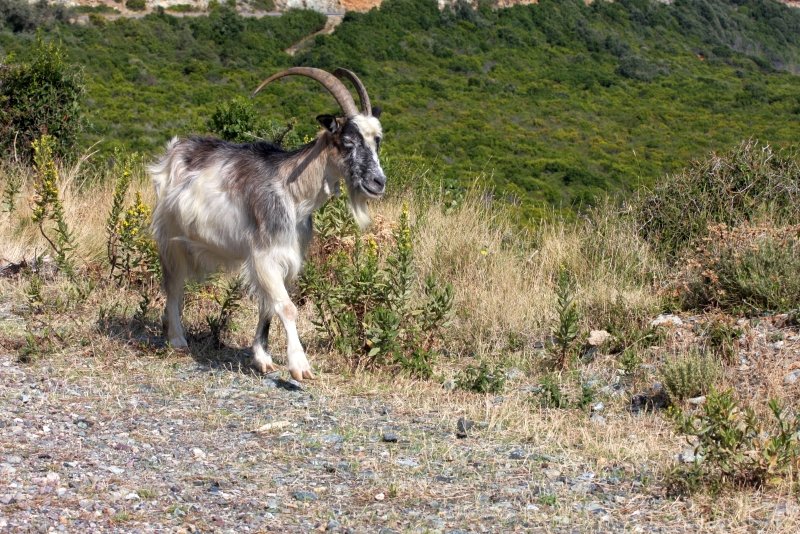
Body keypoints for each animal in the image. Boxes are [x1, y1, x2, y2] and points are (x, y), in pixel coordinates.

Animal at [149, 67, 386, 381]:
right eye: (348, 141)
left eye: (377, 140)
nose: (378, 182)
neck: (292, 192)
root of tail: (174, 150)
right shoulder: (263, 256)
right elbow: (286, 307)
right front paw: (300, 366)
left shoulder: (286, 259)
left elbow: (268, 307)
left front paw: (263, 358)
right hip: (170, 236)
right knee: (173, 284)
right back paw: (177, 339)